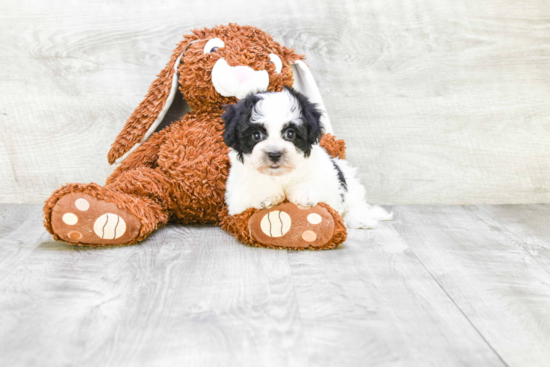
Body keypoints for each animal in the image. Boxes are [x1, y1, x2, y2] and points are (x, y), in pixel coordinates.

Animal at [222, 87, 394, 229]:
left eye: (290, 133)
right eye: (256, 135)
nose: (275, 154)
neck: (281, 175)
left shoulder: (327, 178)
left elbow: (315, 184)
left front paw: (304, 194)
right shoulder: (236, 194)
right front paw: (266, 195)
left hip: (351, 185)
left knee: (356, 204)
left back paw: (360, 219)